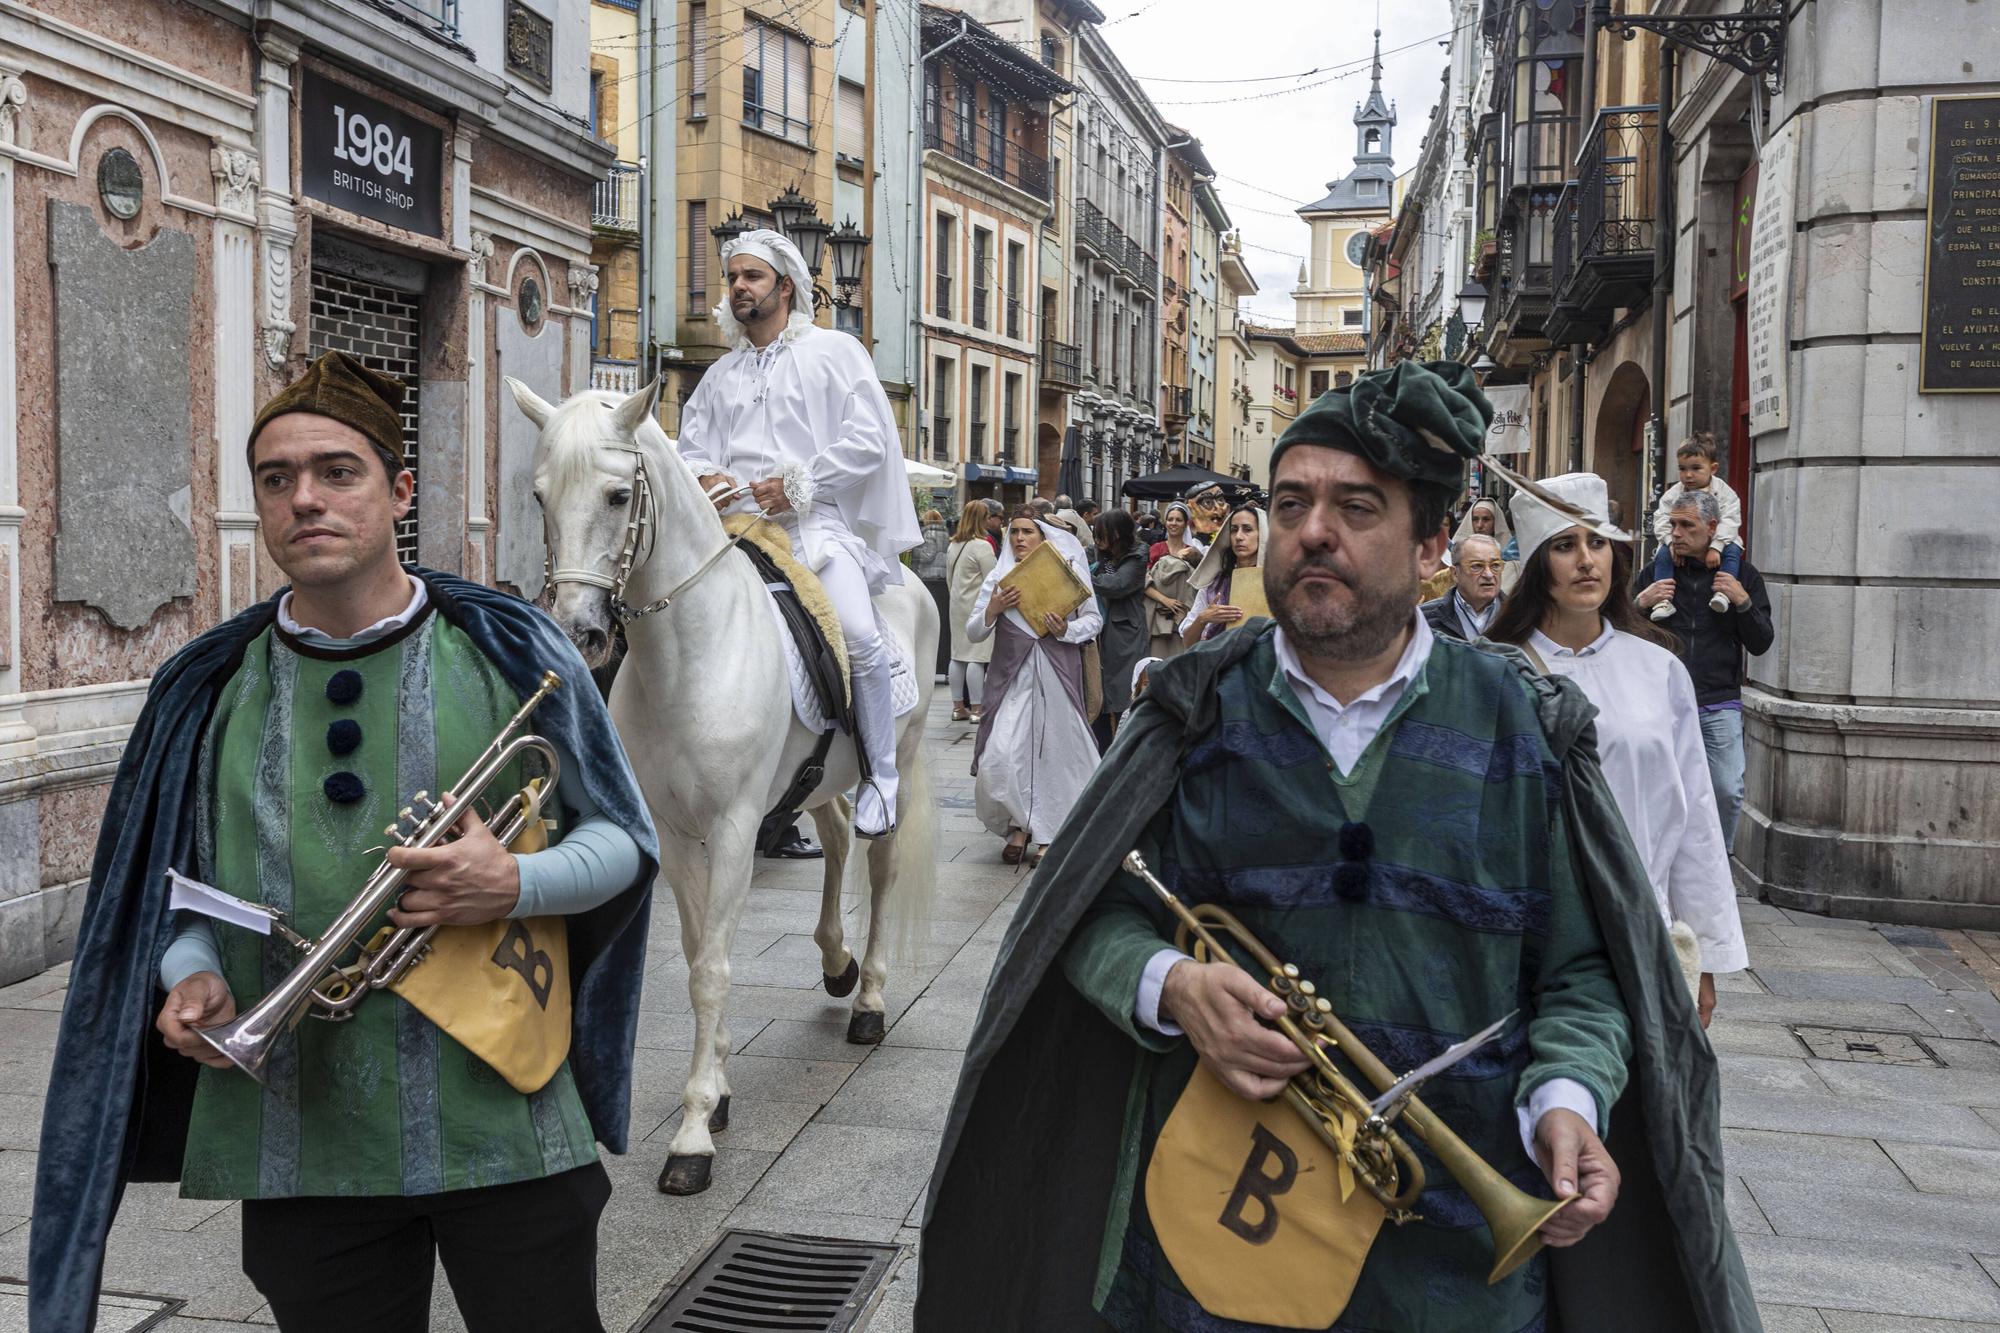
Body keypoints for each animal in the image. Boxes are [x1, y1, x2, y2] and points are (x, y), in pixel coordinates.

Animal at [504, 376, 932, 1192]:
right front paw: (720, 1085)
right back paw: (836, 963)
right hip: (818, 779)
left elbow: (711, 969)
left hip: (903, 761)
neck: (689, 653)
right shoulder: (675, 833)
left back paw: (869, 996)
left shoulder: (734, 826)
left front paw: (695, 1133)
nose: (578, 633)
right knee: (836, 841)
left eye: (617, 494)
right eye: (539, 496)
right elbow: (700, 945)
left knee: (885, 863)